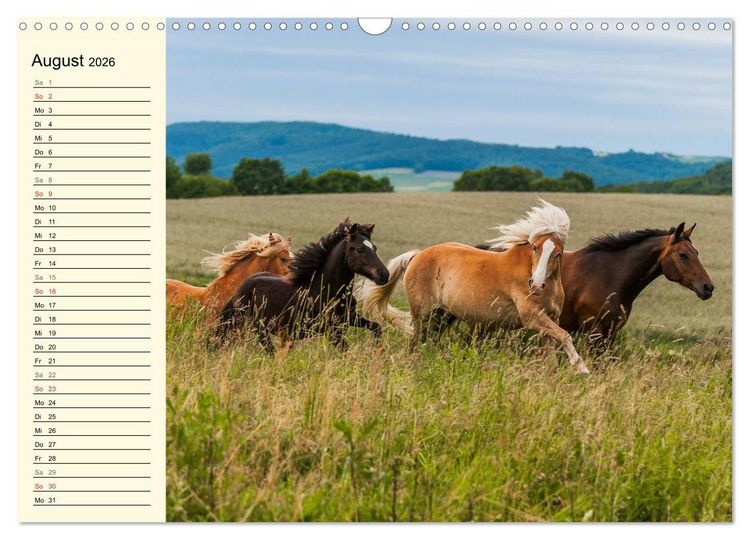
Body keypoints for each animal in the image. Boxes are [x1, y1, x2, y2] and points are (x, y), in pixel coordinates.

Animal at [217, 219, 389, 352]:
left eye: (374, 248)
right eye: (360, 249)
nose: (384, 274)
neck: (329, 290)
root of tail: (240, 290)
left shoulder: (350, 319)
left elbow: (376, 327)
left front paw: (379, 352)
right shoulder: (332, 331)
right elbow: (347, 351)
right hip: (259, 329)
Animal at [359, 200, 591, 374]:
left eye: (558, 253)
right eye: (535, 248)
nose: (536, 284)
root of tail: (417, 255)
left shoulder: (551, 319)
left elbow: (554, 349)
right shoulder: (532, 317)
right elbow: (565, 336)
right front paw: (581, 368)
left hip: (442, 316)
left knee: (428, 342)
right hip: (422, 315)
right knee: (416, 343)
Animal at [478, 222, 714, 348]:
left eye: (696, 252)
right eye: (683, 255)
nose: (707, 287)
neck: (610, 275)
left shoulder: (610, 333)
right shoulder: (595, 333)